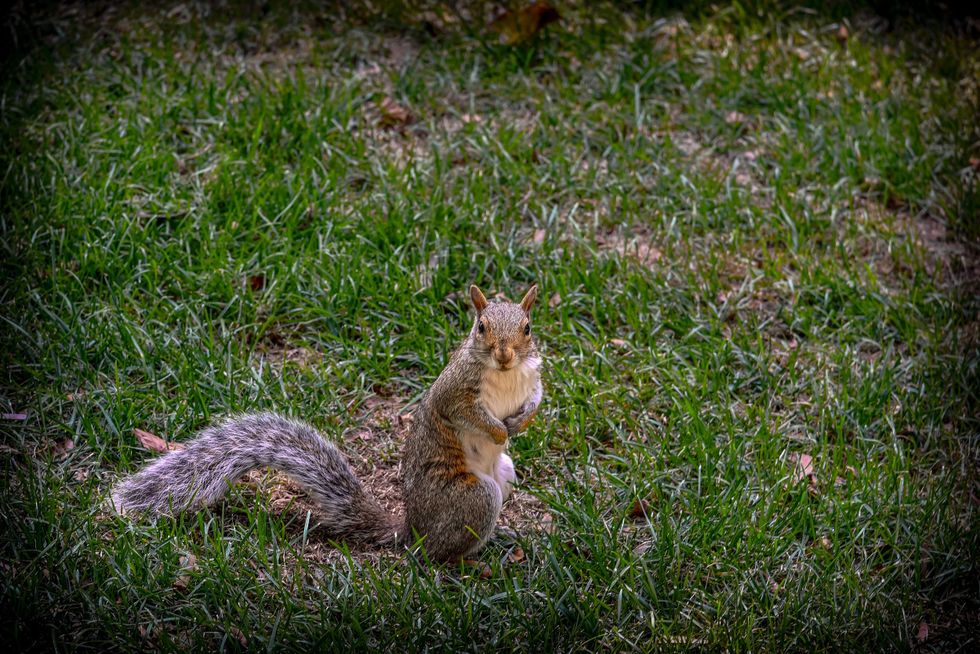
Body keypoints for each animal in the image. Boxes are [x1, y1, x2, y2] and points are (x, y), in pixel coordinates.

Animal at [110, 284, 543, 563]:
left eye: (527, 328)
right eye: (481, 327)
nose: (504, 355)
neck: (504, 375)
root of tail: (412, 530)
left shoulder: (532, 378)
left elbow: (537, 399)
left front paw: (521, 422)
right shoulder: (455, 394)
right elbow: (468, 414)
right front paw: (500, 429)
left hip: (505, 474)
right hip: (473, 498)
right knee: (437, 554)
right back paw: (469, 561)